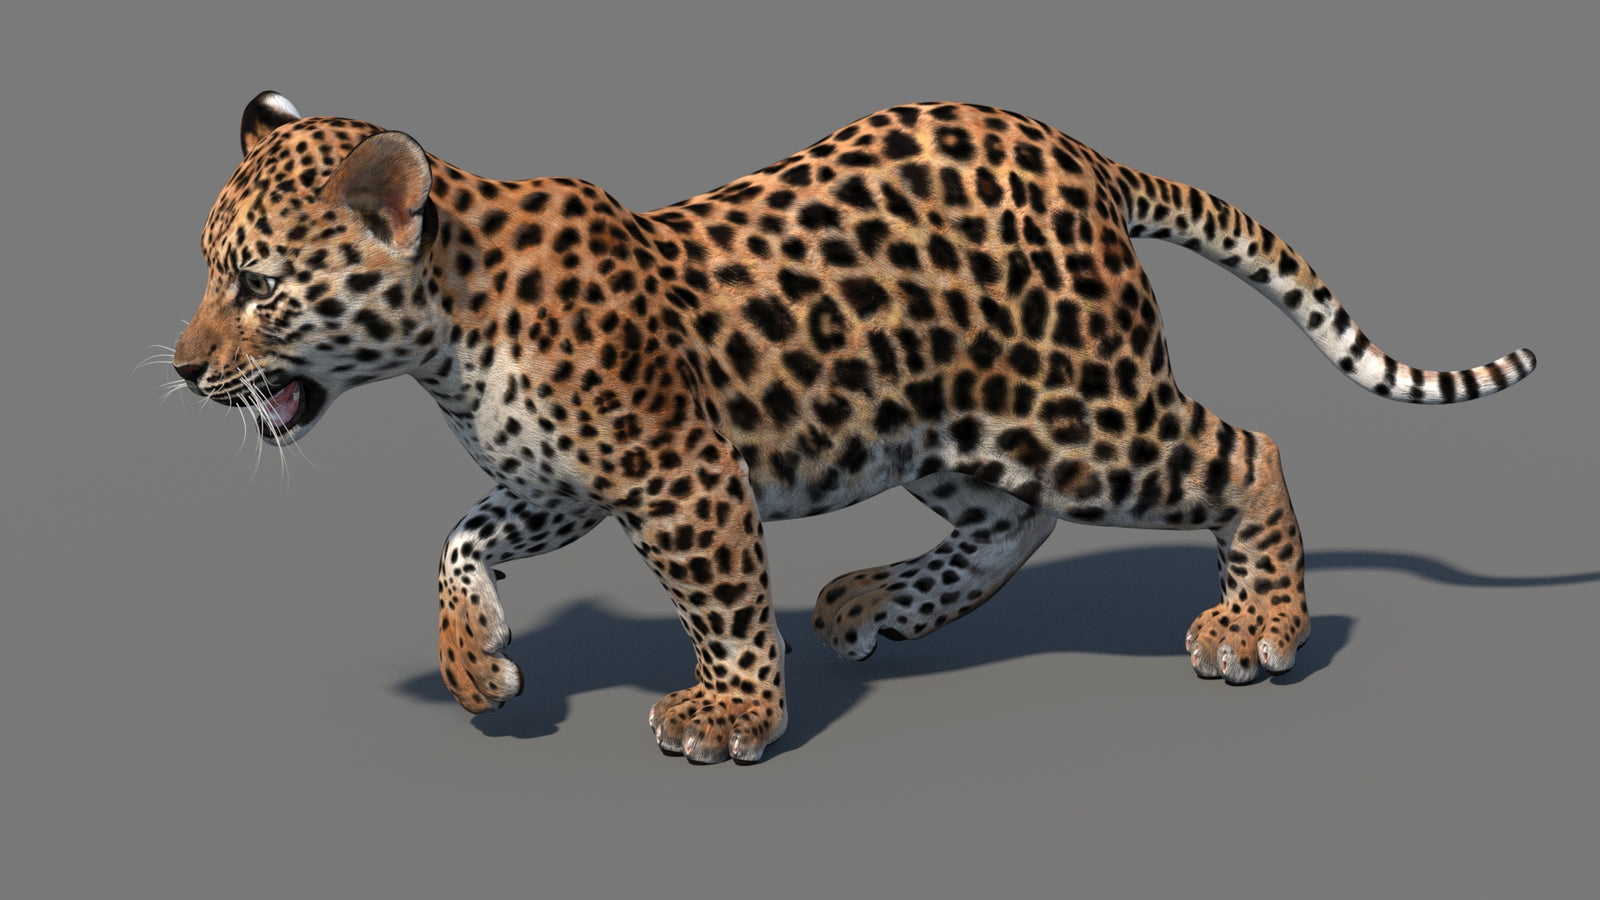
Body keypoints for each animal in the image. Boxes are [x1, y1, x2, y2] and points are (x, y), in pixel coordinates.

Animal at [171, 91, 1534, 764]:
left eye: (256, 286)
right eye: (210, 273)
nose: (184, 371)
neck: (445, 337)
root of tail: (1081, 152)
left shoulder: (680, 473)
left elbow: (717, 602)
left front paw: (727, 718)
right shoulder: (558, 486)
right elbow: (455, 543)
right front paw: (476, 665)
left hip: (1081, 411)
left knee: (1243, 453)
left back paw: (1258, 627)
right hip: (949, 426)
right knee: (1013, 522)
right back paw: (874, 600)